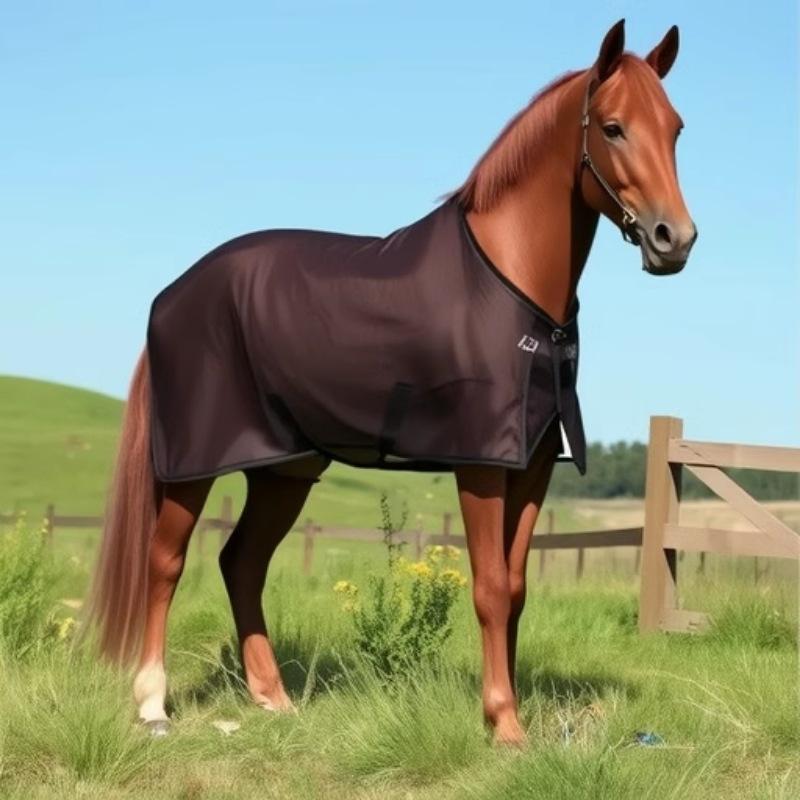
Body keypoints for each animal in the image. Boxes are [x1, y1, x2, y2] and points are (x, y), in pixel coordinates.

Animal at [88, 19, 696, 746]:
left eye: (676, 128)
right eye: (611, 128)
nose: (674, 240)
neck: (511, 281)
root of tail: (174, 293)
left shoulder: (532, 465)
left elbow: (517, 588)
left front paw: (509, 712)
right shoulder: (480, 465)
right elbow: (490, 587)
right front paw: (504, 726)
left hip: (285, 468)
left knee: (242, 562)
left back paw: (273, 698)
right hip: (194, 466)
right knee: (165, 561)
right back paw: (153, 703)